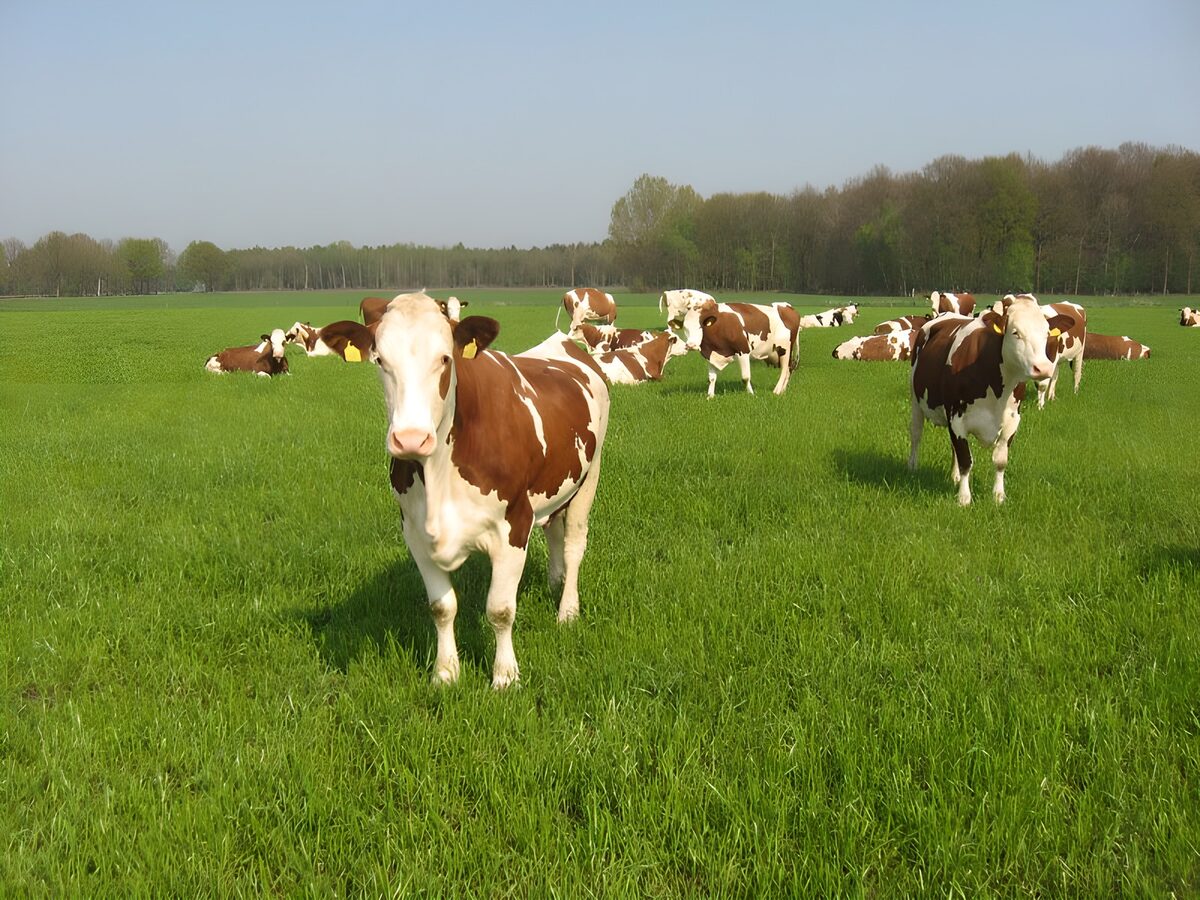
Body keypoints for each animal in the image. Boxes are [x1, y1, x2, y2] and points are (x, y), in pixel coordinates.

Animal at [371, 292, 610, 688]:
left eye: (445, 357)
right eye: (379, 359)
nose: (410, 439)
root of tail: (563, 342)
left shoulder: (514, 524)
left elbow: (500, 610)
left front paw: (505, 677)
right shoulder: (414, 532)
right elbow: (441, 607)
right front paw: (445, 673)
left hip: (589, 477)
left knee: (575, 543)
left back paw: (567, 610)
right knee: (555, 532)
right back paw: (555, 581)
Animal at [908, 294, 1076, 505]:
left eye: (1046, 333)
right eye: (1015, 332)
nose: (1043, 368)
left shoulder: (1012, 420)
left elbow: (1000, 461)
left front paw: (998, 496)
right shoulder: (957, 418)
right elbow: (966, 460)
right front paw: (964, 498)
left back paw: (954, 476)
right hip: (916, 400)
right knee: (916, 434)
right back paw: (913, 467)